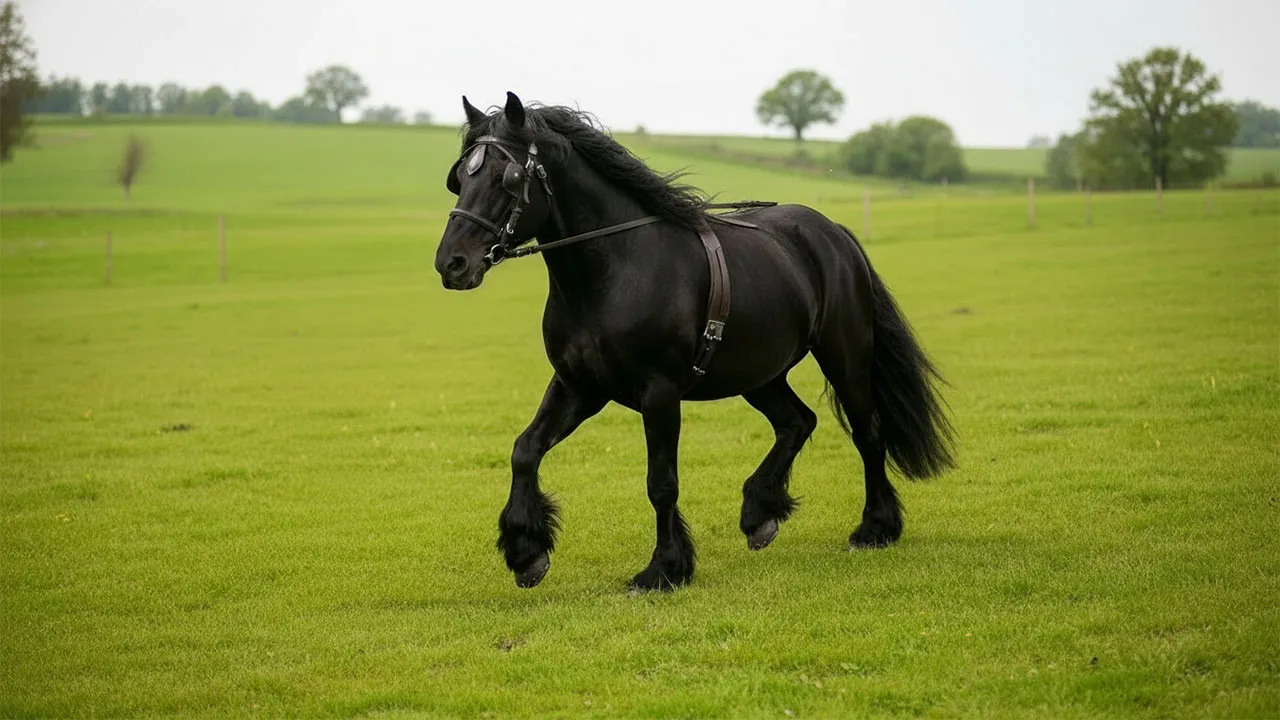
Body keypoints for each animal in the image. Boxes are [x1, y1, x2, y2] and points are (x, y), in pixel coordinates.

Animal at [434, 92, 955, 592]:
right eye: (459, 178)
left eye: (508, 176)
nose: (451, 263)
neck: (615, 270)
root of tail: (833, 233)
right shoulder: (578, 386)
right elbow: (525, 450)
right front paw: (527, 553)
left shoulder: (659, 392)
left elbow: (661, 483)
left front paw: (664, 569)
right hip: (758, 373)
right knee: (797, 422)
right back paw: (759, 514)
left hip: (844, 356)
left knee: (868, 433)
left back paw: (875, 528)